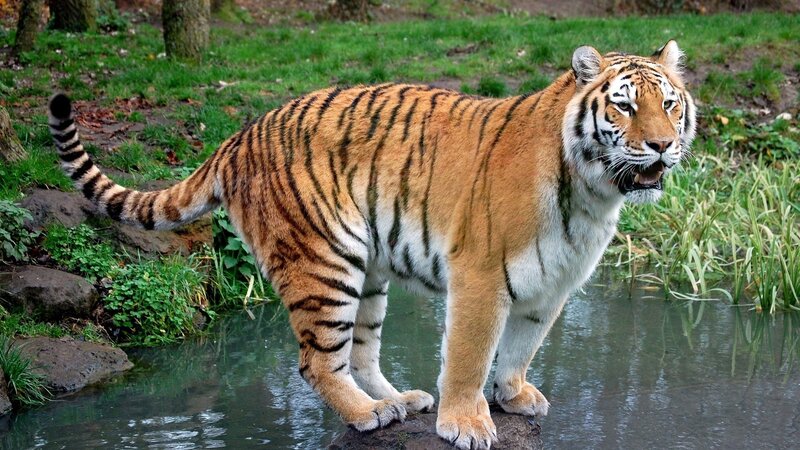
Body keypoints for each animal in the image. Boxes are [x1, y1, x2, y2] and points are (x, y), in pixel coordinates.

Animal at [47, 40, 695, 449]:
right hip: (323, 261)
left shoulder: (552, 284)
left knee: (359, 352)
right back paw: (368, 414)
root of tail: (239, 134)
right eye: (624, 105)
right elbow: (470, 354)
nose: (662, 146)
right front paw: (467, 423)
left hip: (369, 271)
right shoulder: (481, 276)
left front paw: (512, 397)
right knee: (316, 361)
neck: (593, 193)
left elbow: (520, 348)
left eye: (669, 104)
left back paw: (400, 401)